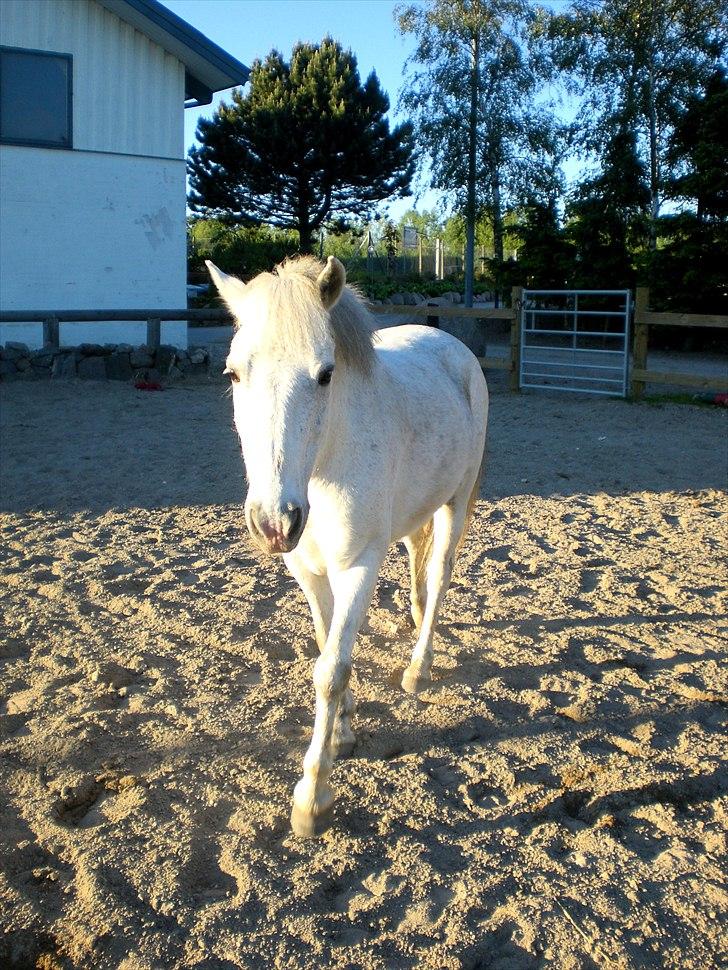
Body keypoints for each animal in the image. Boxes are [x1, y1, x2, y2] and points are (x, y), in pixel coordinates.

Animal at [206, 258, 490, 840]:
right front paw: (342, 732)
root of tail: (452, 343)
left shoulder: (358, 566)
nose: (274, 521)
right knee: (417, 567)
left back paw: (418, 667)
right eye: (233, 373)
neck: (322, 467)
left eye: (325, 374)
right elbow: (327, 644)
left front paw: (313, 796)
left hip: (456, 503)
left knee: (439, 577)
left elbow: (330, 670)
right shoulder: (309, 571)